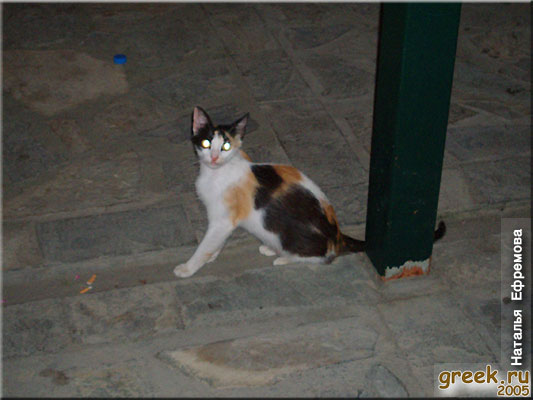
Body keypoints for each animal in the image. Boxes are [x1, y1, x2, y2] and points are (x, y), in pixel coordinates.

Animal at [174, 106, 445, 278]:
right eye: (207, 143)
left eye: (227, 145)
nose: (215, 157)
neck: (215, 174)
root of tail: (337, 235)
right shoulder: (222, 220)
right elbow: (215, 242)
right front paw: (211, 257)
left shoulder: (223, 219)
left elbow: (207, 243)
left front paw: (188, 267)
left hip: (288, 236)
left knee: (325, 257)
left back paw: (282, 256)